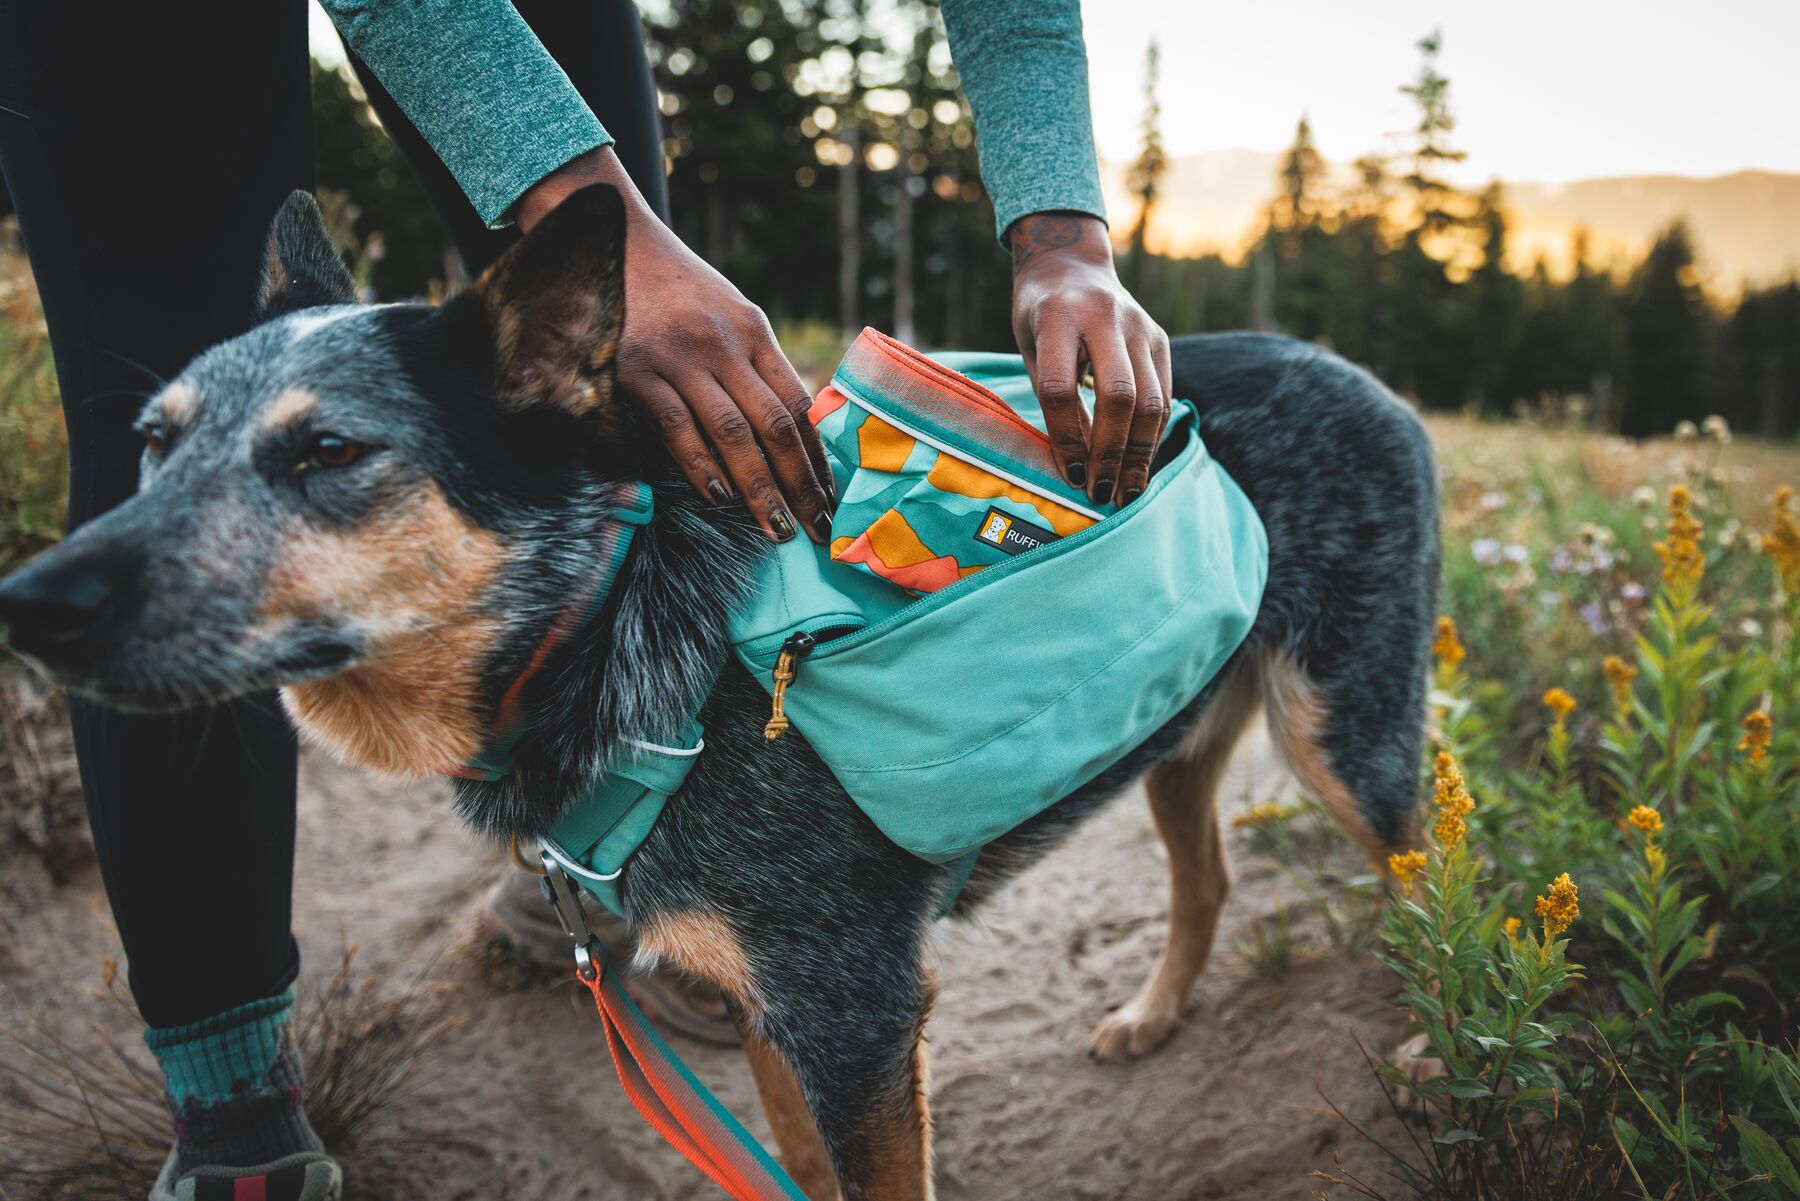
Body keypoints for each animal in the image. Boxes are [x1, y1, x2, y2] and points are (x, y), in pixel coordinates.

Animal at [0, 188, 1432, 1201]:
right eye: (152, 443)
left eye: (329, 452)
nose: (33, 600)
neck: (615, 627)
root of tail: (1346, 364)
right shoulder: (766, 1005)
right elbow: (797, 1161)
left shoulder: (858, 1015)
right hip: (1183, 743)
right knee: (1210, 879)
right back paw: (1154, 1013)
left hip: (1347, 738)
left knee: (1424, 876)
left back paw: (1432, 1045)